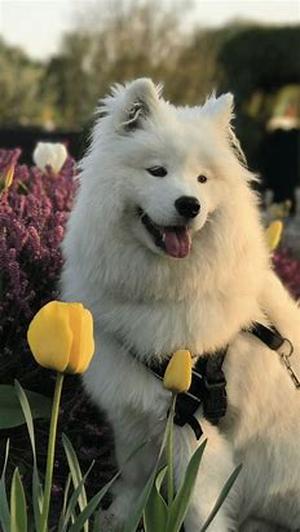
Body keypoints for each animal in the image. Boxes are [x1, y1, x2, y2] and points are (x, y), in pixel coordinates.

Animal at [60, 79, 300, 532]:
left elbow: (198, 504)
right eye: (157, 171)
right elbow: (133, 477)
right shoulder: (132, 409)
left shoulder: (192, 424)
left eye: (203, 179)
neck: (164, 288)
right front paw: (116, 517)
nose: (190, 204)